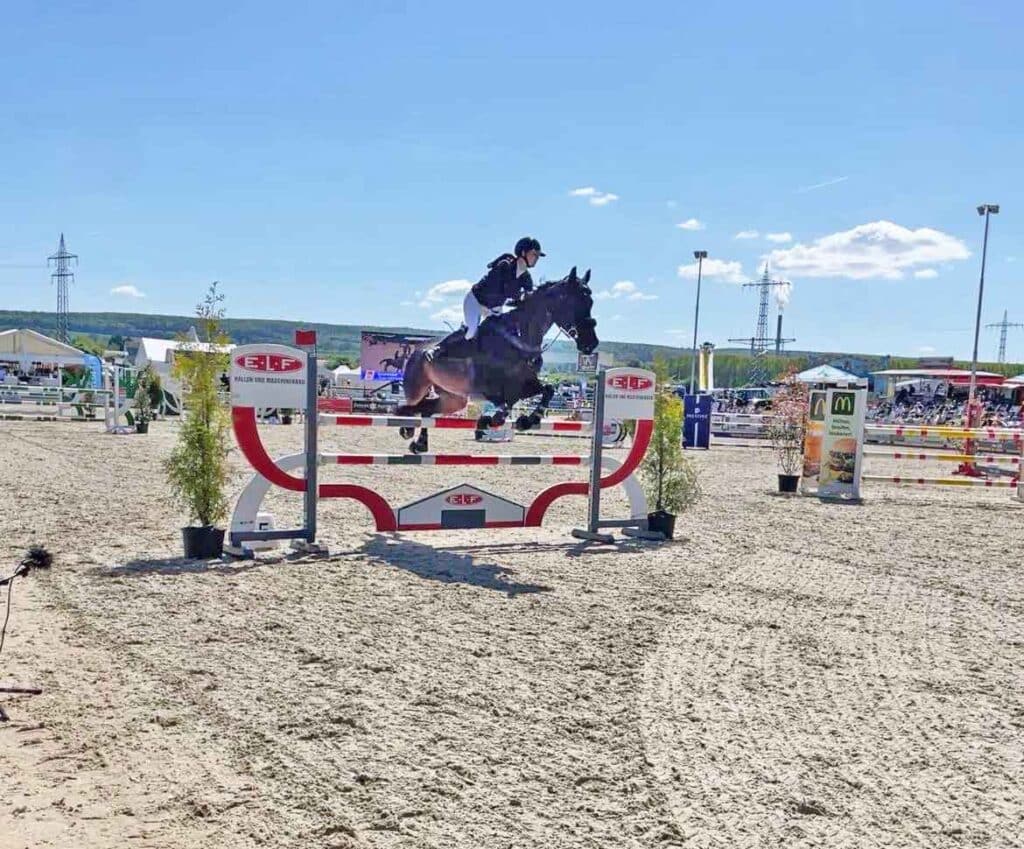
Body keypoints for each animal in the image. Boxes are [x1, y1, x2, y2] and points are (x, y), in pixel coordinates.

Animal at [396, 267, 599, 454]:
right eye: (572, 302)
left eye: (590, 302)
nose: (591, 343)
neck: (520, 339)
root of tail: (418, 349)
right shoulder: (490, 389)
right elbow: (503, 407)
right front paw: (491, 420)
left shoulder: (525, 386)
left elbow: (547, 390)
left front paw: (527, 420)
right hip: (418, 388)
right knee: (407, 406)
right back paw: (406, 428)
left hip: (453, 399)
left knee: (426, 410)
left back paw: (419, 443)